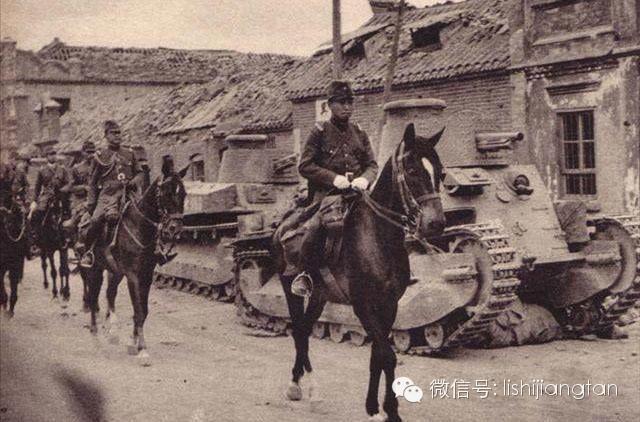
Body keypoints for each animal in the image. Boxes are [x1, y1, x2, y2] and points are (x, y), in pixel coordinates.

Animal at [84, 156, 187, 357]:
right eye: (166, 193)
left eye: (184, 194)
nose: (175, 230)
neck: (140, 227)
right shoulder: (133, 276)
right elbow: (138, 310)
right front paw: (142, 350)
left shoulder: (146, 275)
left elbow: (144, 311)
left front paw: (134, 341)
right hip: (95, 269)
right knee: (93, 296)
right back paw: (95, 334)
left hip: (115, 272)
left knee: (109, 294)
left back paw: (112, 331)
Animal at [273, 123, 446, 422]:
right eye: (413, 170)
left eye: (441, 172)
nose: (436, 223)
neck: (377, 237)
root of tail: (282, 225)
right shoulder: (363, 306)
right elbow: (387, 355)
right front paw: (389, 411)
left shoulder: (389, 305)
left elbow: (378, 355)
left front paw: (376, 407)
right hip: (290, 287)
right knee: (298, 331)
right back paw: (304, 389)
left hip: (319, 296)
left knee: (304, 330)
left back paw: (305, 386)